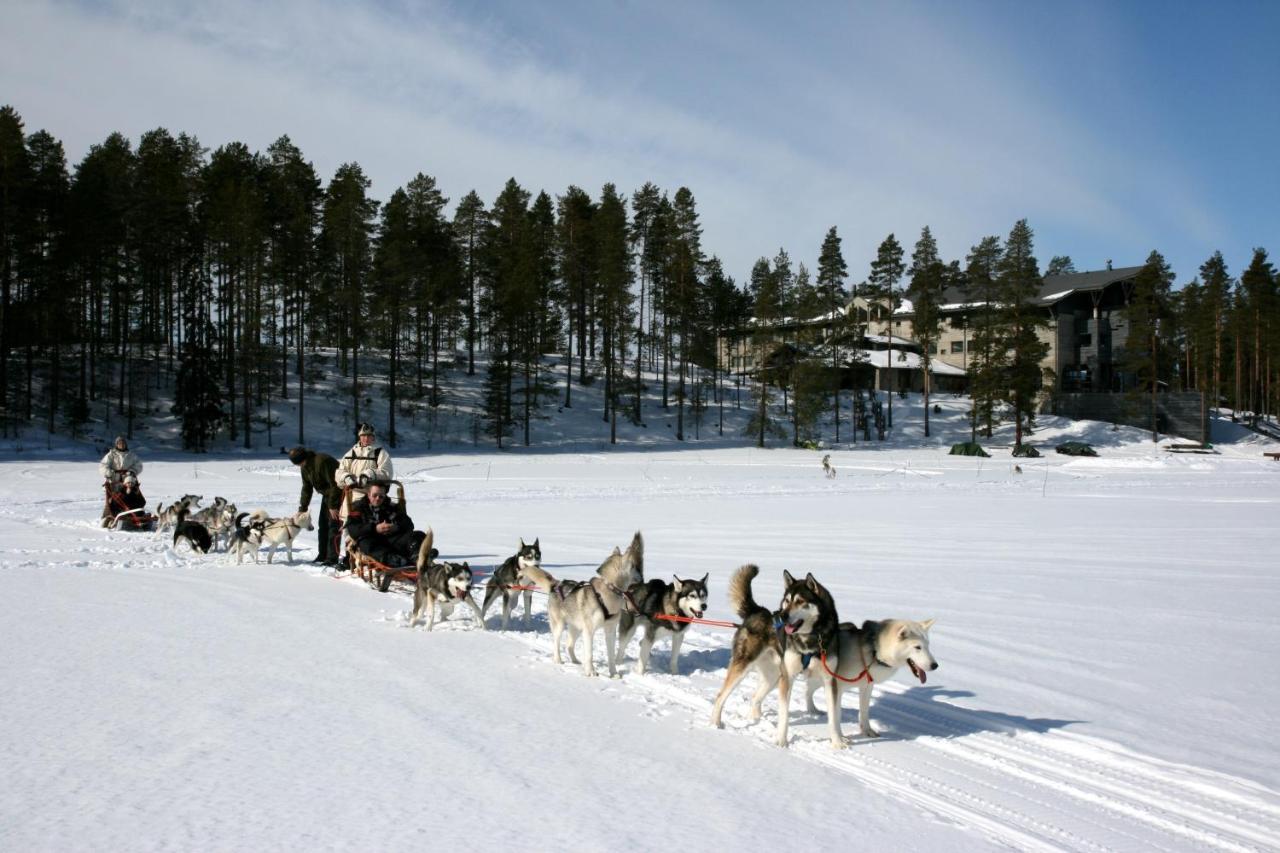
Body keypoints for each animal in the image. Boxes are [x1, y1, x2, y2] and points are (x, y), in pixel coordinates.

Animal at [519, 527, 645, 676]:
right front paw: (591, 672)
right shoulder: (589, 631)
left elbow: (611, 656)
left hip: (577, 628)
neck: (608, 590)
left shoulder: (610, 631)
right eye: (635, 567)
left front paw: (613, 674)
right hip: (560, 626)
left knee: (569, 645)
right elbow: (589, 654)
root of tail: (556, 585)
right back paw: (558, 660)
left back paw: (575, 661)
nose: (643, 578)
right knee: (556, 643)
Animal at [706, 563, 844, 742]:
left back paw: (757, 719)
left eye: (800, 601)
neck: (812, 637)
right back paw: (715, 723)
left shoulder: (829, 680)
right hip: (745, 669)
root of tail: (757, 611)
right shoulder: (788, 678)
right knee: (720, 695)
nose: (783, 616)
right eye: (787, 601)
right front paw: (781, 742)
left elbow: (833, 717)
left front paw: (837, 743)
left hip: (773, 676)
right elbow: (784, 715)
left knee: (755, 698)